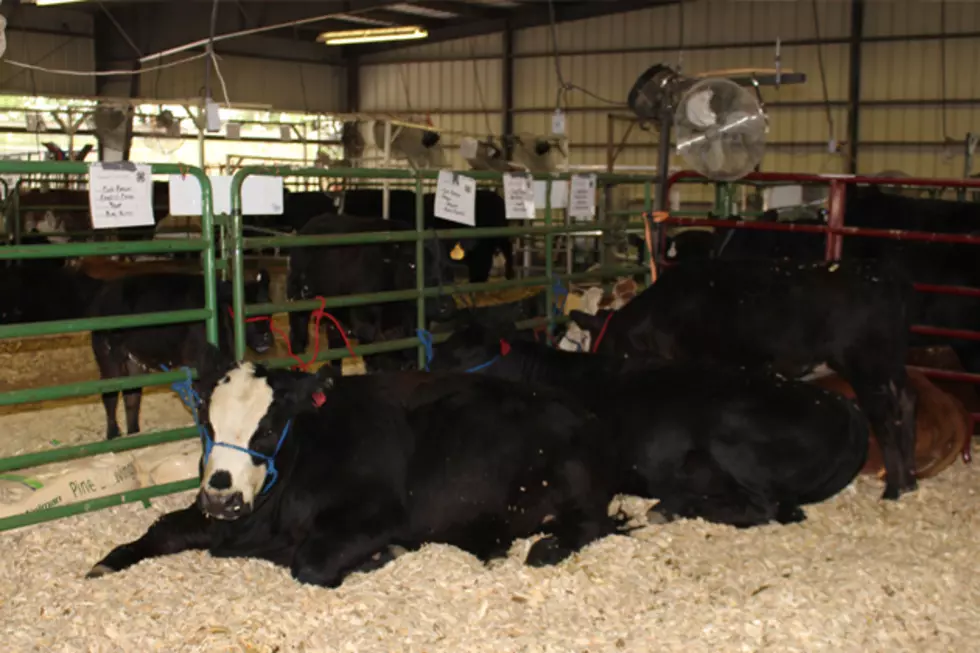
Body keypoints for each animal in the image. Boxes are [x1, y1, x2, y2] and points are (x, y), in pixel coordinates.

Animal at [84, 342, 620, 584]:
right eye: (208, 425)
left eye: (268, 427)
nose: (222, 496)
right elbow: (163, 529)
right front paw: (111, 560)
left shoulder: (379, 515)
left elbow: (309, 561)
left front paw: (380, 557)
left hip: (573, 485)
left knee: (591, 522)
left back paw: (546, 548)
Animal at [88, 270, 274, 438]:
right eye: (245, 312)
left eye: (269, 308)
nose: (265, 338)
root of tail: (104, 291)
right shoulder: (200, 364)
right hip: (108, 356)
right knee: (110, 396)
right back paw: (113, 435)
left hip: (134, 361)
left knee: (132, 397)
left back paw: (134, 433)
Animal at [568, 256, 920, 500]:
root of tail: (882, 274)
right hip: (892, 364)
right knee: (906, 404)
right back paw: (911, 480)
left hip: (866, 367)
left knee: (885, 418)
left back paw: (893, 487)